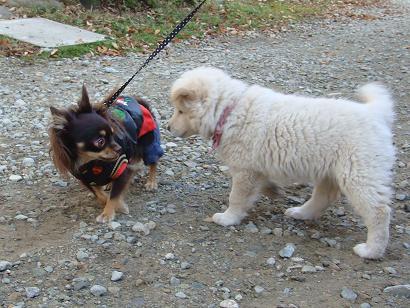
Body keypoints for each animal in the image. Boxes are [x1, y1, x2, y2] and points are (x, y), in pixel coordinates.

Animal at [168, 67, 396, 260]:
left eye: (180, 111)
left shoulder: (245, 170)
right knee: (324, 196)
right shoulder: (255, 169)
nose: (168, 127)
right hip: (330, 170)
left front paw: (228, 218)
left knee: (379, 211)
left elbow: (236, 197)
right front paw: (272, 190)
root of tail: (374, 113)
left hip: (358, 173)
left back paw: (371, 250)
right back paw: (300, 213)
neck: (228, 111)